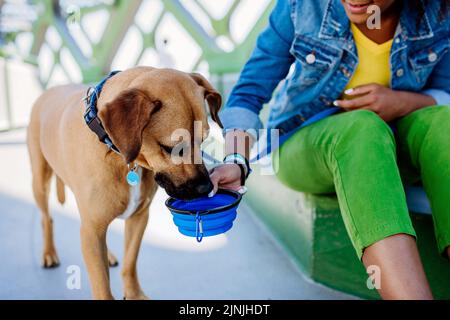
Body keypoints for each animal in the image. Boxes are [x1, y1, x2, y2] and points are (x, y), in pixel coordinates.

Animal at [25, 66, 221, 298]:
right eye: (172, 148)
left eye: (204, 140)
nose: (206, 188)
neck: (117, 152)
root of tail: (51, 90)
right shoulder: (92, 230)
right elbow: (102, 286)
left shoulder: (138, 218)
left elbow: (130, 262)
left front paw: (134, 293)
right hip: (40, 183)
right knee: (47, 218)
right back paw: (49, 253)